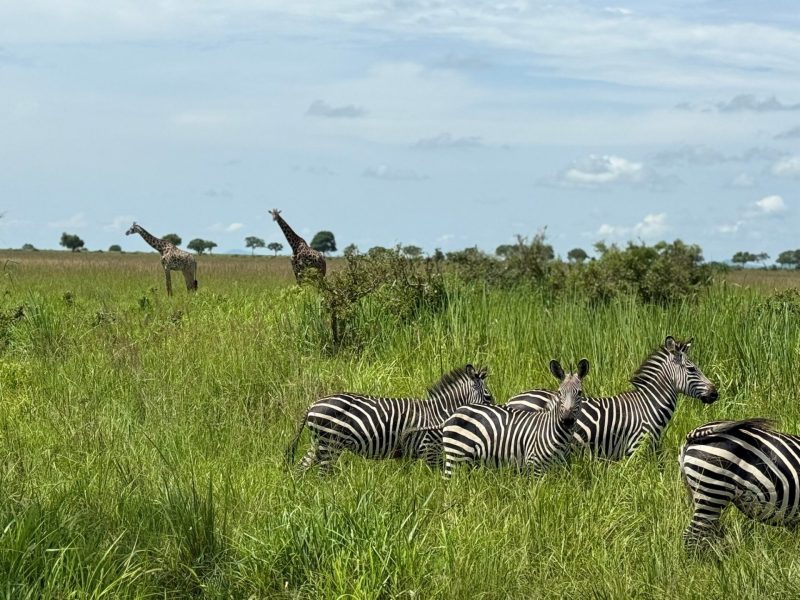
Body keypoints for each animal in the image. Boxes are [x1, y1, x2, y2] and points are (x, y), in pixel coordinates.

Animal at [286, 364, 494, 474]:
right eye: (489, 397)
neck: (439, 413)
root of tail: (313, 403)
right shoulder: (429, 450)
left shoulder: (410, 453)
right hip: (330, 443)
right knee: (322, 474)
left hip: (319, 442)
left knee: (300, 469)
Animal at [440, 359, 589, 479]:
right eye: (559, 392)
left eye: (580, 392)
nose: (567, 420)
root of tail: (458, 410)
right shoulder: (535, 467)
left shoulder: (560, 469)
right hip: (455, 456)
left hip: (468, 461)